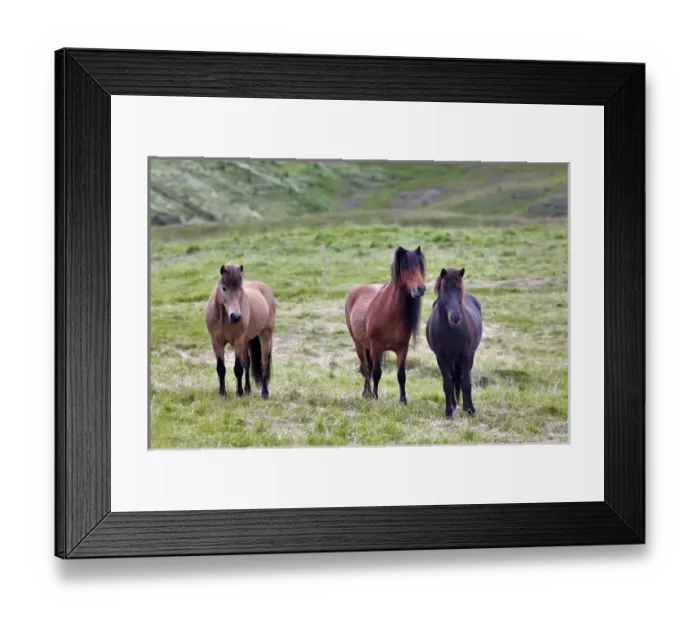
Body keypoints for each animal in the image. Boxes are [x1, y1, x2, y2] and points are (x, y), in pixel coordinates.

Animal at [205, 264, 277, 399]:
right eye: (224, 288)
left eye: (240, 289)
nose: (236, 316)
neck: (224, 318)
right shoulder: (216, 342)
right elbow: (221, 368)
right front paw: (222, 392)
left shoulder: (237, 340)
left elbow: (238, 368)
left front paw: (239, 392)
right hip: (246, 340)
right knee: (247, 363)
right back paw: (247, 389)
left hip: (265, 335)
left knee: (264, 362)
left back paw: (264, 393)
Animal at [344, 246, 426, 404]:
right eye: (405, 268)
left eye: (420, 267)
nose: (421, 289)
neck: (391, 314)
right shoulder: (376, 347)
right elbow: (376, 372)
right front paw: (376, 397)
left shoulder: (402, 349)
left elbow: (401, 375)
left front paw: (403, 400)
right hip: (358, 344)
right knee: (366, 368)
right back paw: (367, 393)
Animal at [426, 267, 483, 419]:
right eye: (444, 288)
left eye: (460, 289)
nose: (455, 317)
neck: (451, 331)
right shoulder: (441, 357)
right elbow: (448, 384)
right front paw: (448, 412)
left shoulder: (465, 355)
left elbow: (466, 382)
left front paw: (470, 410)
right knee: (453, 379)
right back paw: (453, 404)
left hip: (469, 356)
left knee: (463, 378)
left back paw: (465, 406)